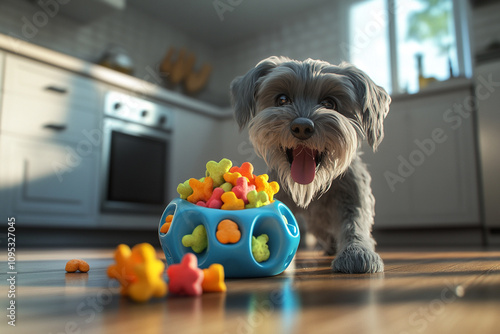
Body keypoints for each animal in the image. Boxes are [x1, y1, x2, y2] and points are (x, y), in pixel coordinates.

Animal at [230, 55, 390, 274]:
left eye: (329, 103)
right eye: (282, 100)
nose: (302, 127)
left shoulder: (354, 193)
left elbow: (355, 222)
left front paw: (357, 253)